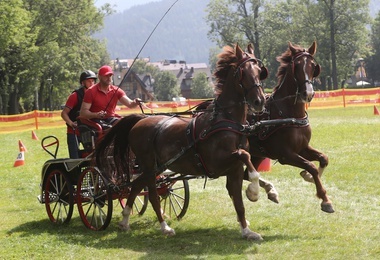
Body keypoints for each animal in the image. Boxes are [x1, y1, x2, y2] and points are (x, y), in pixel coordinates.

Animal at [93, 43, 268, 241]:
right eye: (243, 73)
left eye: (259, 71)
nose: (259, 101)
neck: (227, 120)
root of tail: (140, 120)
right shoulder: (217, 162)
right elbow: (245, 157)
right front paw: (254, 192)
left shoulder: (234, 169)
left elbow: (239, 201)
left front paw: (247, 230)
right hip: (149, 166)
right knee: (152, 195)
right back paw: (164, 227)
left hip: (156, 167)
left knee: (136, 186)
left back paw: (124, 221)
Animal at [248, 41, 334, 213]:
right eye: (297, 66)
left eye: (313, 66)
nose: (308, 93)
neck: (291, 114)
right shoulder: (286, 155)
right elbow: (311, 166)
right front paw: (325, 199)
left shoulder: (302, 148)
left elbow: (323, 158)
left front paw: (308, 177)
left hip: (256, 154)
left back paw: (268, 191)